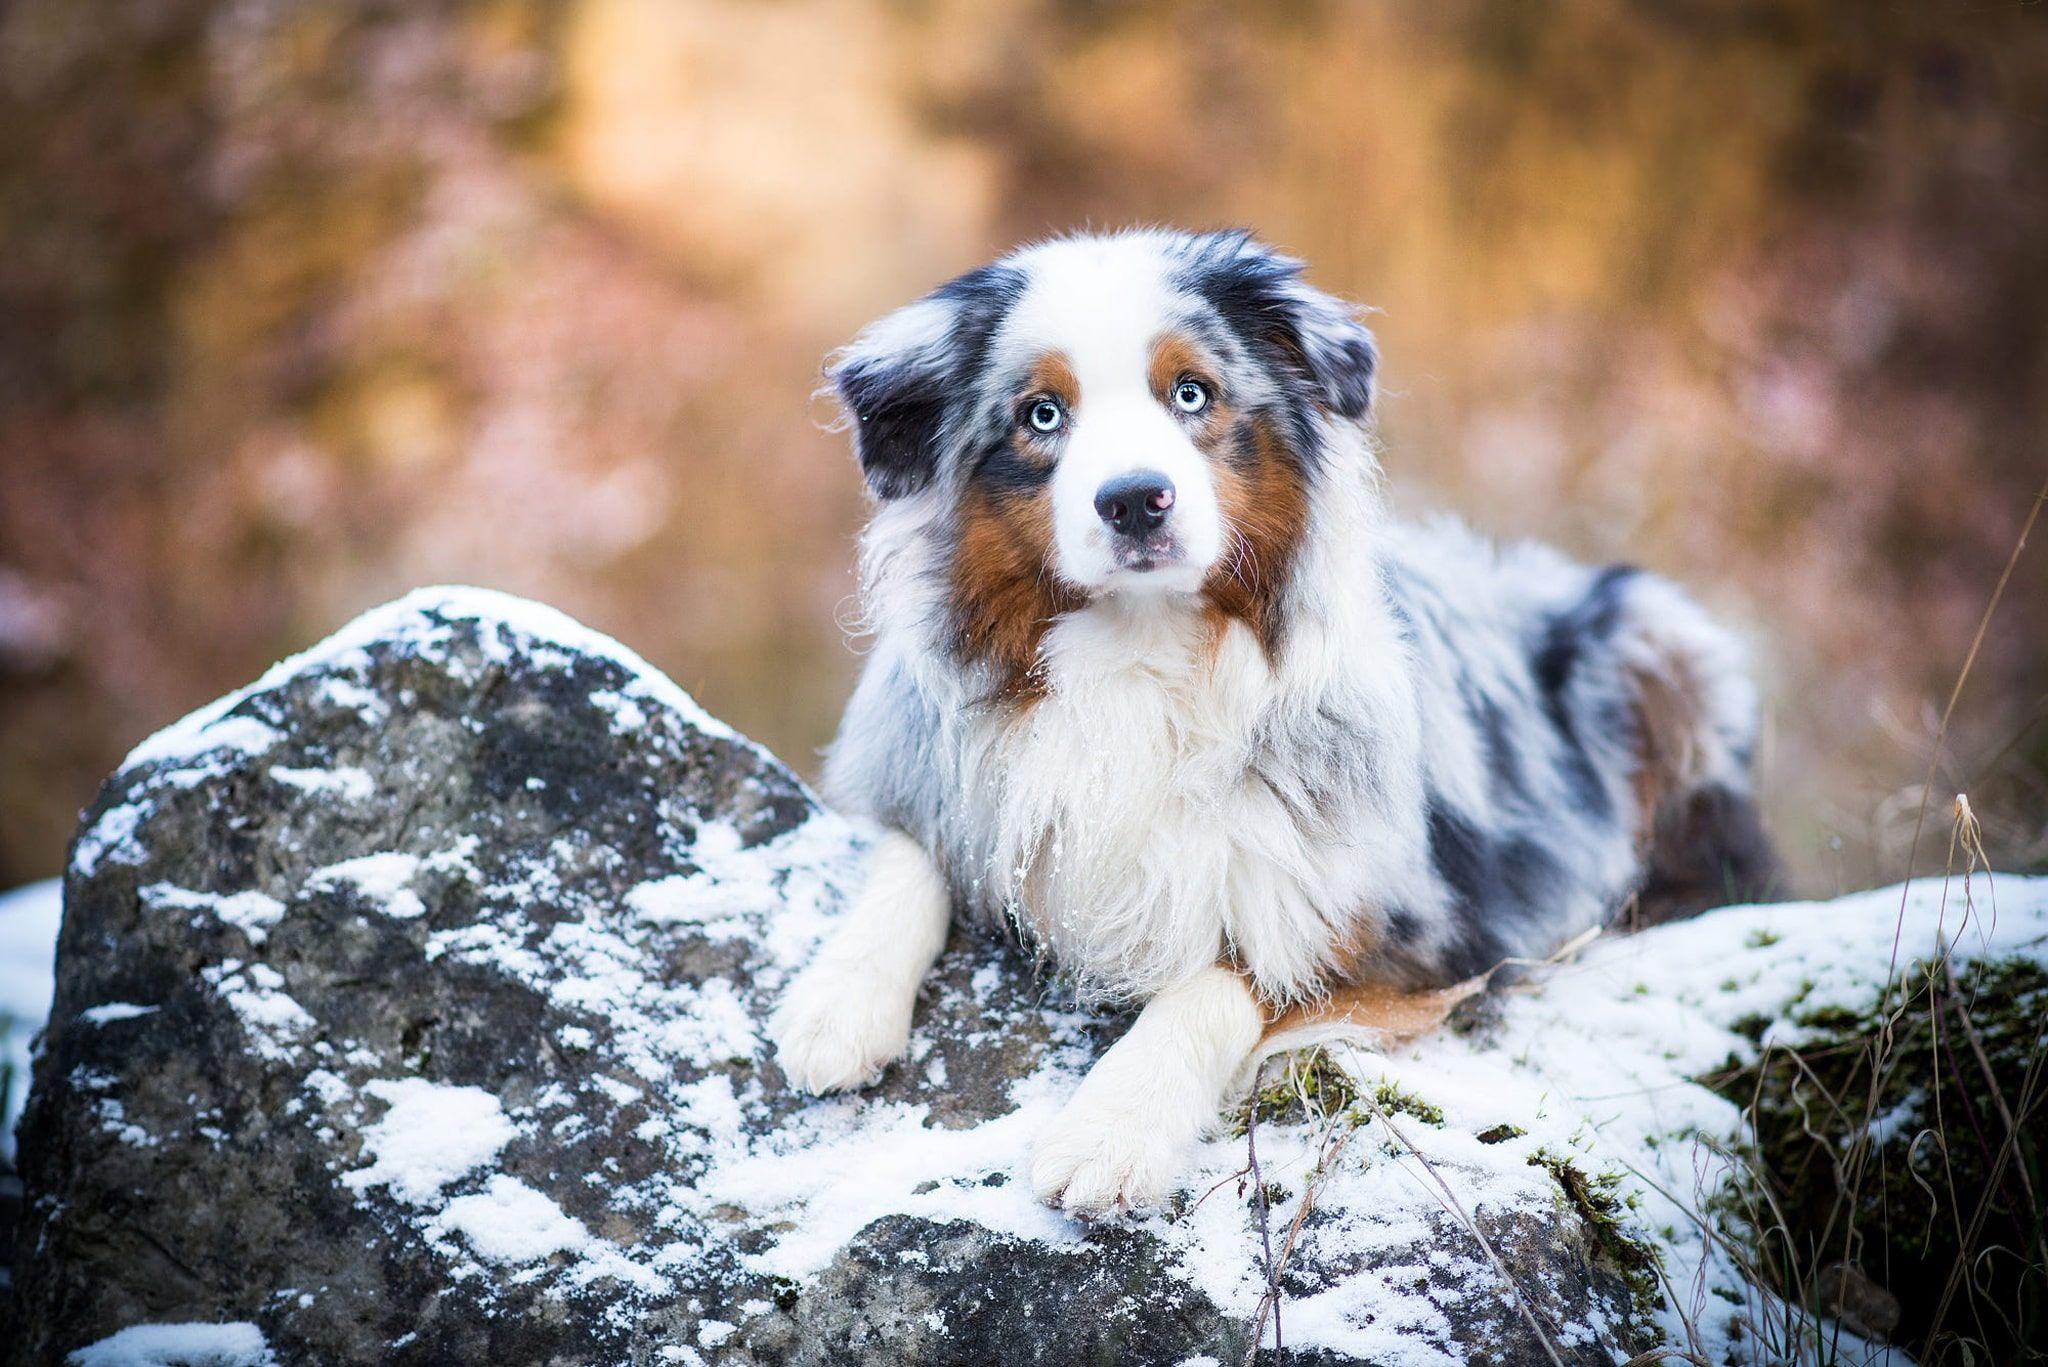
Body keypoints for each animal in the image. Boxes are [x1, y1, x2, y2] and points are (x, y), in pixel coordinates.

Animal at [770, 227, 1777, 1221]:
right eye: (1042, 414)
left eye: (1191, 392)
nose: (1135, 499)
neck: (1140, 655)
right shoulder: (939, 762)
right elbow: (914, 850)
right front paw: (836, 1002)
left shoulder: (1424, 927)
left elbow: (1225, 974)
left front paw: (1111, 1130)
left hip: (1661, 635)